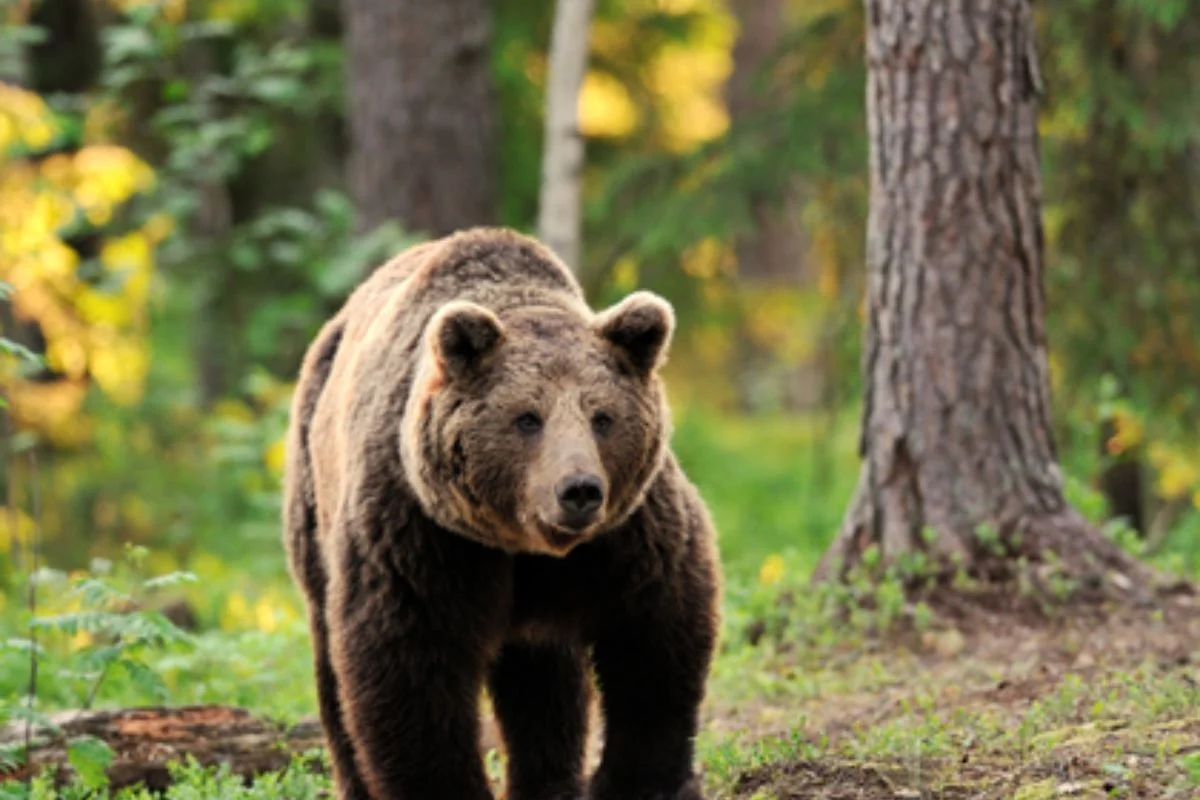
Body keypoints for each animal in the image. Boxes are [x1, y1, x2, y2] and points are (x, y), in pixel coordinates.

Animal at [283, 226, 720, 800]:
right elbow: (410, 668)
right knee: (333, 669)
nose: (579, 491)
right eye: (527, 418)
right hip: (314, 505)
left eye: (602, 417)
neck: (522, 542)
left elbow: (654, 638)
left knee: (544, 683)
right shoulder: (422, 533)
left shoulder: (627, 534)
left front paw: (640, 781)